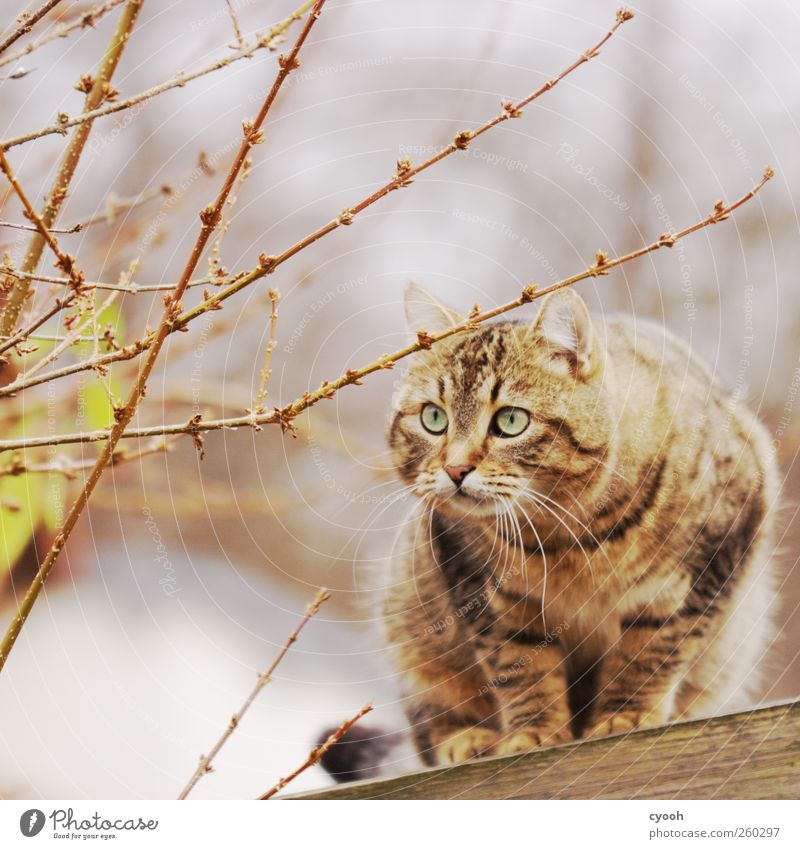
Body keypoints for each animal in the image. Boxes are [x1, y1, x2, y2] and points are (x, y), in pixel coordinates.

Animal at [384, 282, 780, 764]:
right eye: (433, 417)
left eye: (511, 420)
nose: (455, 469)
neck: (567, 533)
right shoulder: (476, 581)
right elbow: (519, 664)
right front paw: (534, 734)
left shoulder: (713, 547)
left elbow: (653, 647)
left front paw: (625, 716)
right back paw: (466, 739)